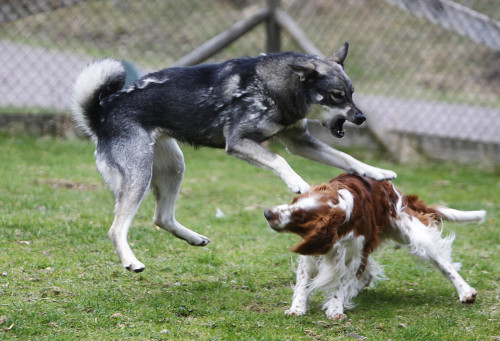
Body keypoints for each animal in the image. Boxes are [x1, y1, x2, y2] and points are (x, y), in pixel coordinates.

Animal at [72, 43, 396, 270]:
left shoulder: (299, 142)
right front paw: (297, 183)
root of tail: (101, 113)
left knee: (161, 217)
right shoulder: (239, 142)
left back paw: (193, 237)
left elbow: (346, 159)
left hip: (173, 167)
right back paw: (131, 261)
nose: (361, 118)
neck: (276, 88)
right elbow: (280, 161)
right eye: (336, 95)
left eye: (352, 92)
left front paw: (378, 172)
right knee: (117, 228)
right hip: (140, 172)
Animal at [264, 173, 486, 318]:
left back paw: (466, 292)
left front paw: (335, 309)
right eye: (294, 200)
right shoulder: (314, 252)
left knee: (445, 265)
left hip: (414, 233)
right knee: (366, 275)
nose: (267, 213)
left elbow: (340, 284)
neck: (343, 211)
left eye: (300, 216)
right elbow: (303, 283)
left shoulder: (351, 255)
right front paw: (297, 308)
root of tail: (396, 191)